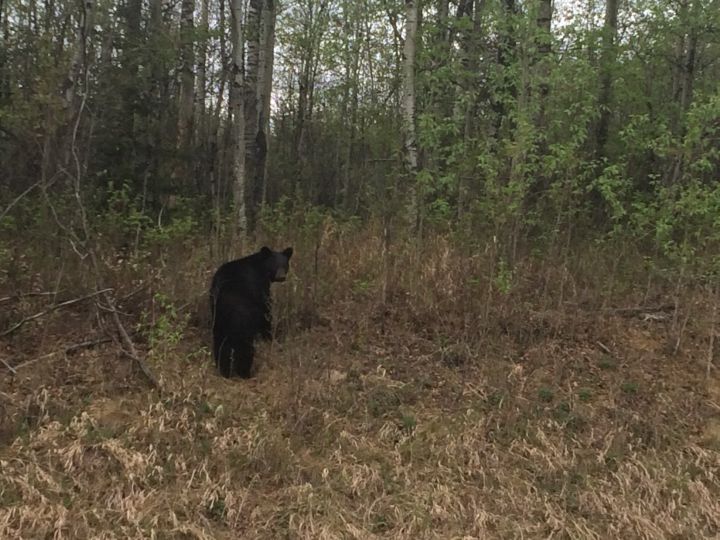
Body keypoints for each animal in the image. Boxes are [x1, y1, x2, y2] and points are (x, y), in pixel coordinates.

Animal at [209, 246, 293, 378]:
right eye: (274, 264)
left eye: (284, 264)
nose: (281, 276)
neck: (260, 267)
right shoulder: (260, 288)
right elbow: (266, 313)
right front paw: (270, 339)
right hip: (243, 322)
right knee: (246, 349)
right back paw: (245, 373)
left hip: (218, 321)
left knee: (220, 346)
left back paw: (224, 372)